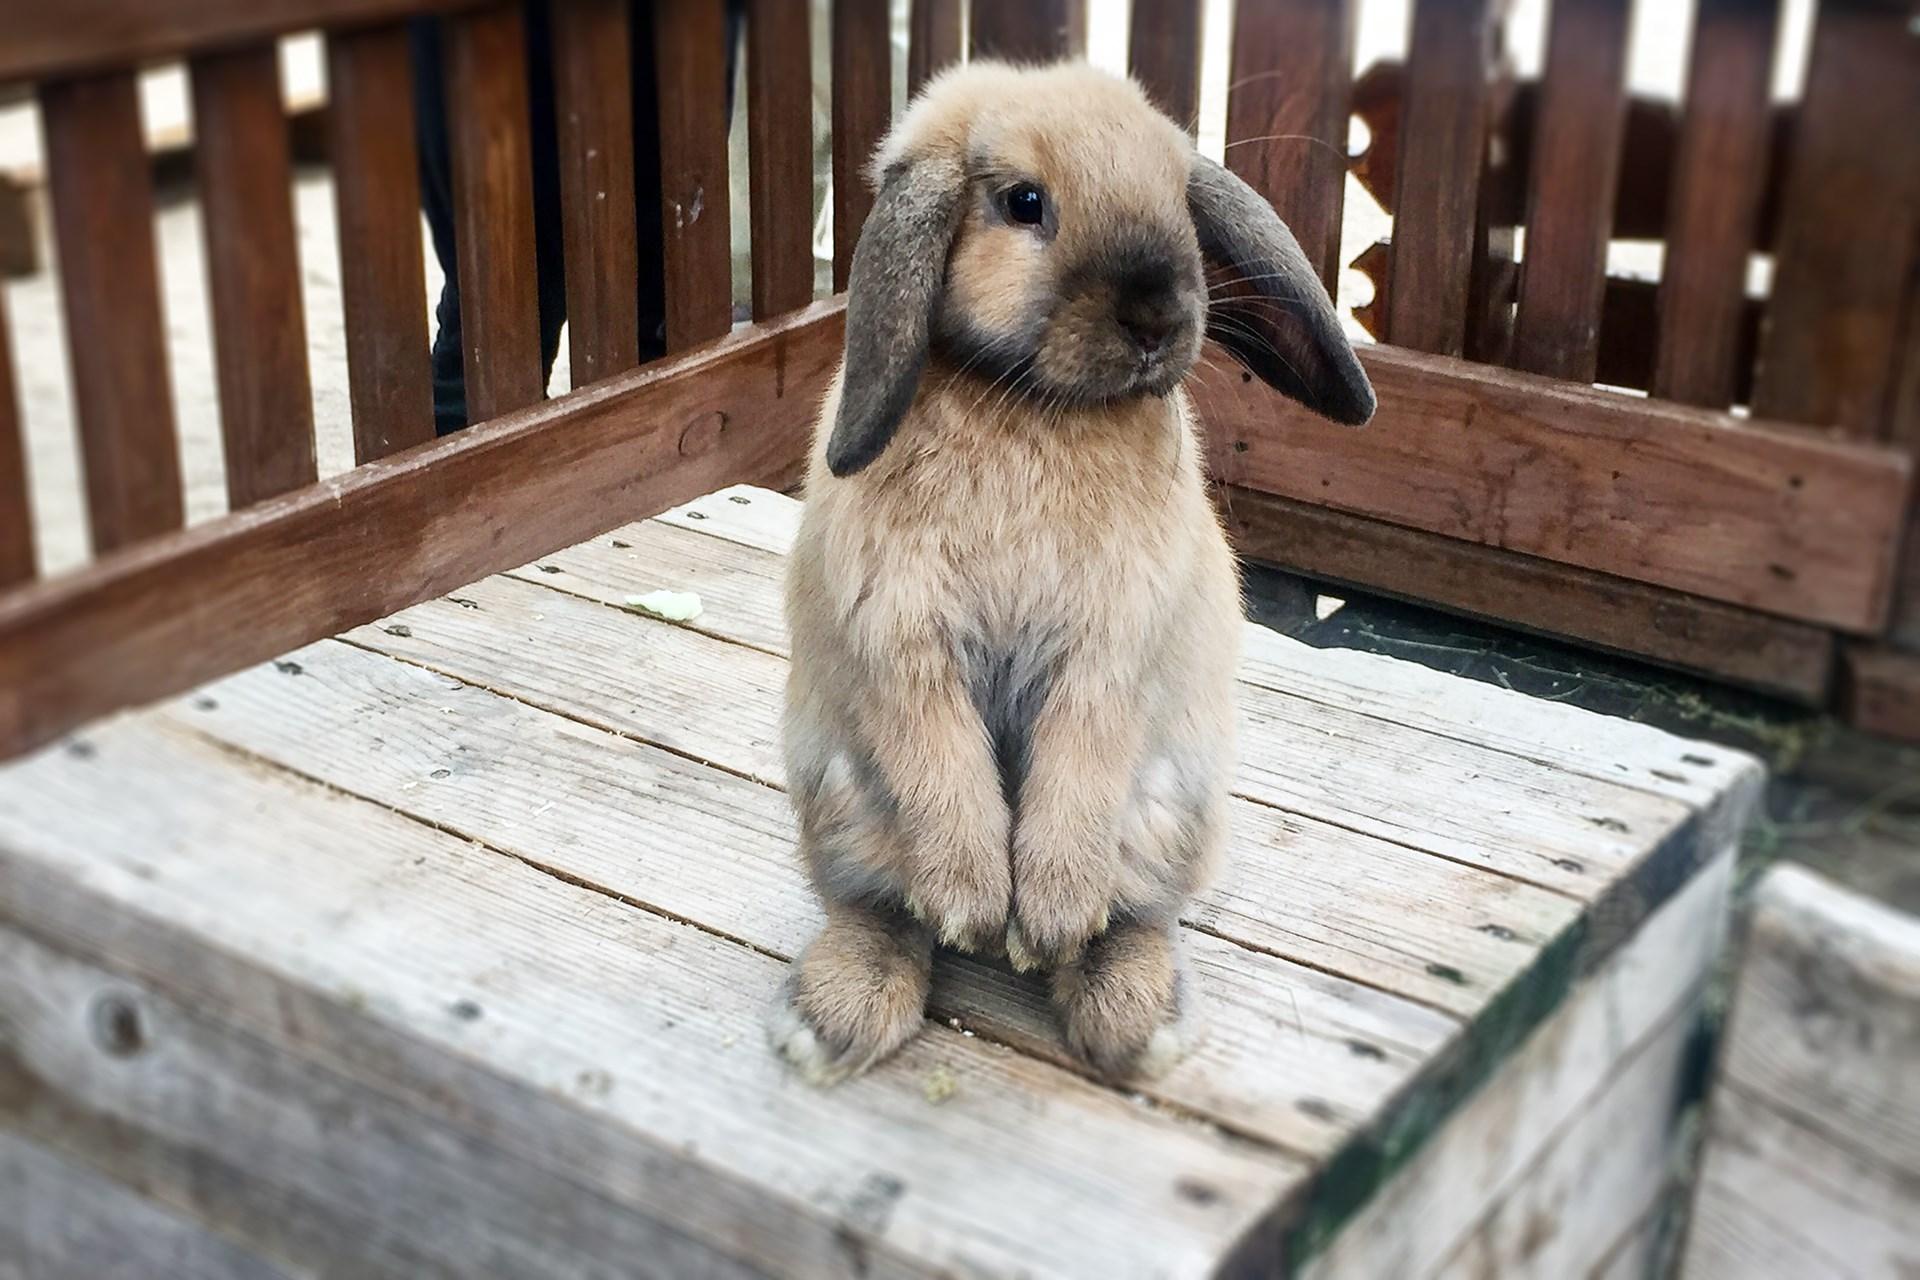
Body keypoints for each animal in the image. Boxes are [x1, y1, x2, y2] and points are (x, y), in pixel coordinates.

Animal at [768, 59, 1382, 1082]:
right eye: (1025, 202)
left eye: (1178, 195)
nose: (1159, 319)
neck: (1029, 402)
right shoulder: (903, 643)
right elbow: (944, 768)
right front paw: (979, 910)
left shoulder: (1109, 651)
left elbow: (1077, 769)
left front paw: (1043, 923)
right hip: (846, 800)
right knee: (881, 908)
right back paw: (837, 1012)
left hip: (1165, 810)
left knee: (1133, 915)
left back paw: (1131, 1009)